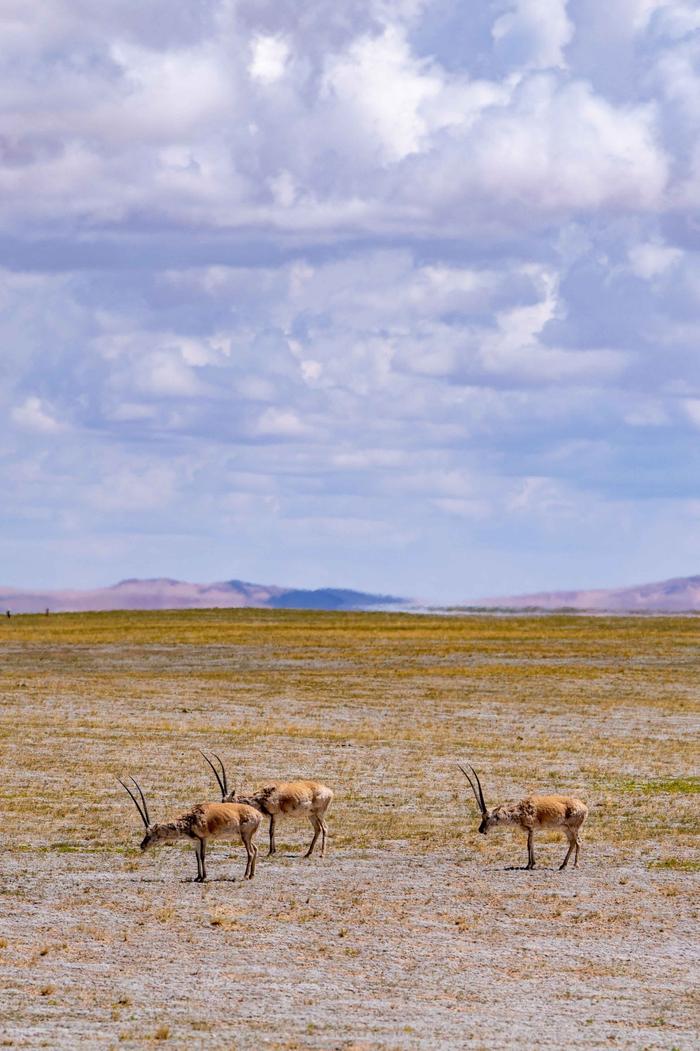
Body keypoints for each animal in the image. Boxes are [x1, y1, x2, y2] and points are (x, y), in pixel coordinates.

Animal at [118, 773, 260, 878]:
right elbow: (197, 857)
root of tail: (258, 814)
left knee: (250, 852)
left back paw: (245, 875)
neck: (190, 819)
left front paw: (204, 877)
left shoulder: (204, 839)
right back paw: (251, 875)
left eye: (149, 833)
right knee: (255, 849)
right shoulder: (196, 841)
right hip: (247, 837)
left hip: (245, 836)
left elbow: (202, 856)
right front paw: (198, 877)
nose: (142, 845)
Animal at [198, 752, 332, 857]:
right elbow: (272, 832)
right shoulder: (274, 817)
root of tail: (329, 791)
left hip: (320, 813)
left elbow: (270, 832)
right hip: (311, 815)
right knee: (318, 829)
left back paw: (322, 854)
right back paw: (308, 853)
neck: (263, 795)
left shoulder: (274, 815)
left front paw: (270, 852)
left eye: (227, 802)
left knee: (325, 828)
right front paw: (273, 851)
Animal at [456, 765, 584, 870]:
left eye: (487, 817)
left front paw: (529, 865)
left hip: (573, 828)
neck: (519, 811)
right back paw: (563, 865)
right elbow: (531, 845)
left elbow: (528, 845)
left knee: (578, 842)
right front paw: (531, 864)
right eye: (482, 816)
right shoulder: (531, 831)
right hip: (566, 829)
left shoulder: (531, 829)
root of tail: (584, 807)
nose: (481, 830)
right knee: (572, 842)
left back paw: (575, 864)